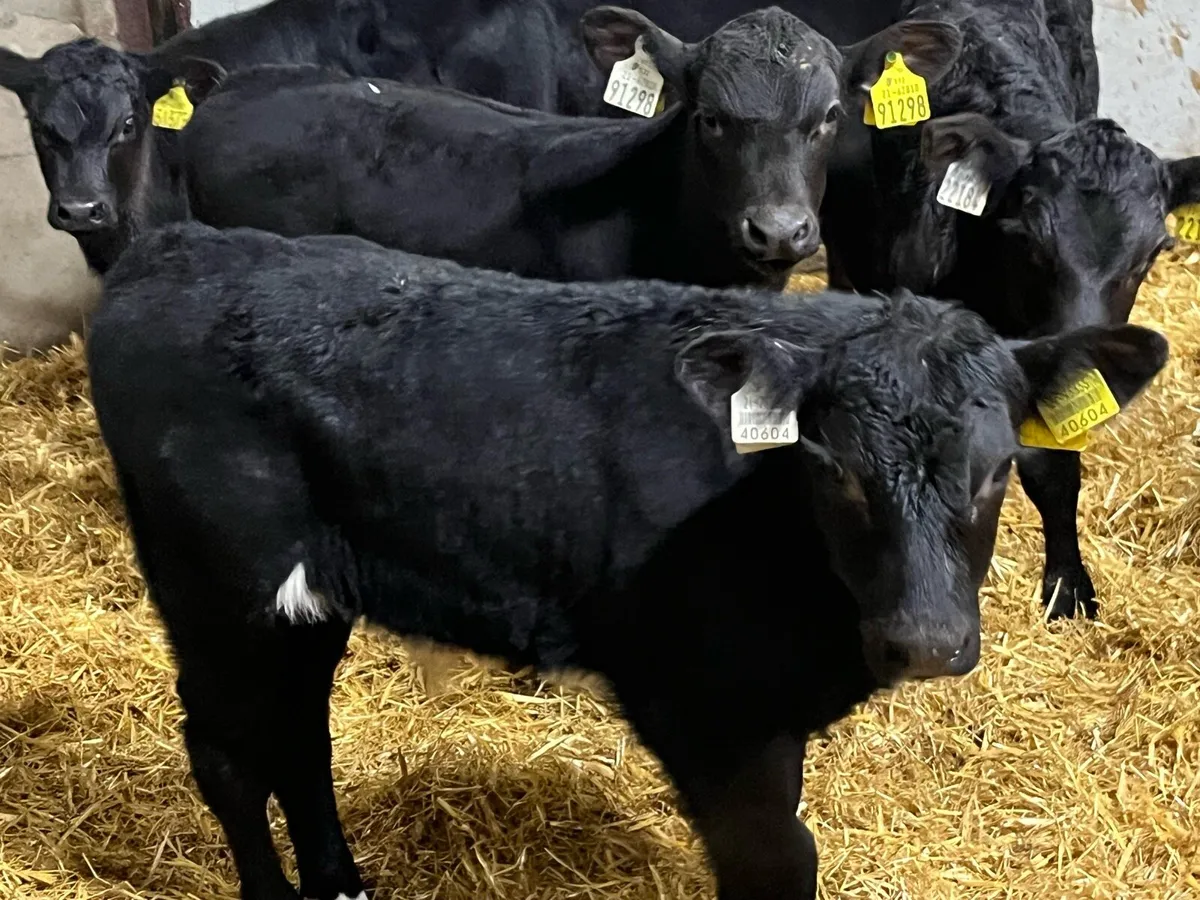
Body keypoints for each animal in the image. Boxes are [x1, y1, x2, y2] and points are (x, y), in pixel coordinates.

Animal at [88, 220, 1168, 900]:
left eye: (997, 471)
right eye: (836, 469)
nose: (927, 642)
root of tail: (175, 247)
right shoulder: (706, 706)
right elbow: (778, 861)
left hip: (303, 601)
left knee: (298, 738)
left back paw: (343, 886)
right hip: (215, 587)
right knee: (229, 754)